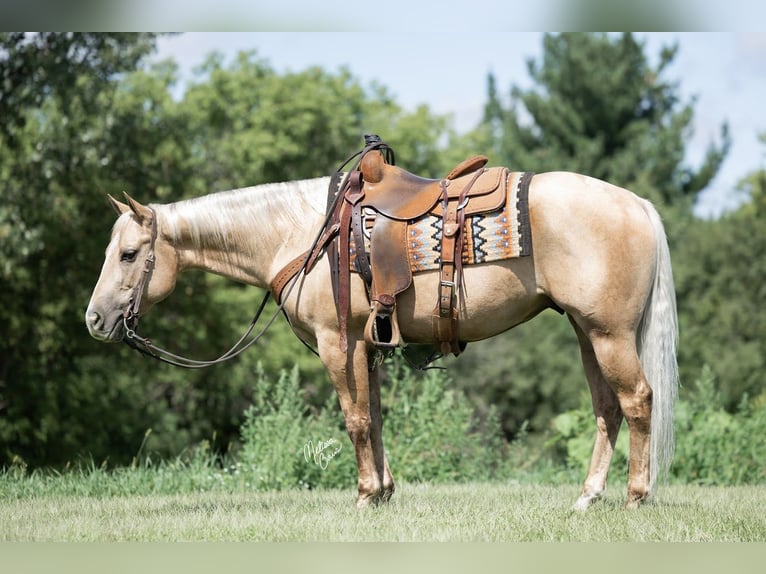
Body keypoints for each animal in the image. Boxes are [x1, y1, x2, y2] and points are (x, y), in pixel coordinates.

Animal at [87, 169, 680, 510]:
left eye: (128, 254)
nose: (93, 319)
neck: (301, 233)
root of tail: (638, 205)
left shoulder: (338, 342)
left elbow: (353, 419)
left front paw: (365, 495)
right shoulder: (367, 346)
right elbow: (373, 417)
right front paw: (386, 492)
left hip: (609, 334)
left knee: (637, 401)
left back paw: (636, 496)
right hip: (587, 332)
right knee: (606, 407)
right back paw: (587, 499)